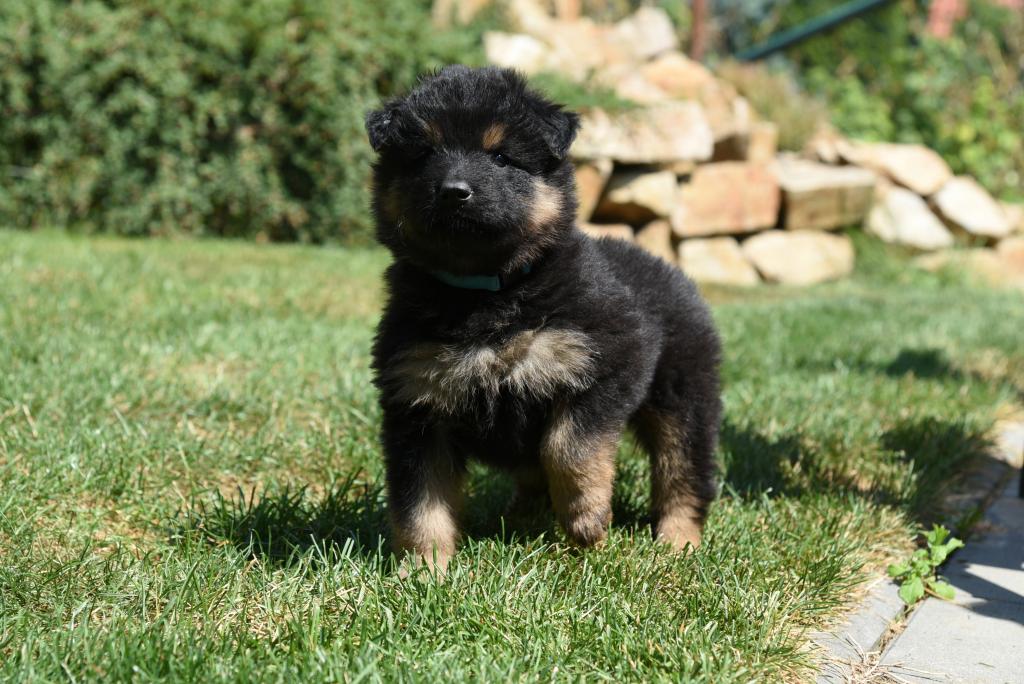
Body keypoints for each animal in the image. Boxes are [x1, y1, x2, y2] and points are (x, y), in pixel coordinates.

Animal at [366, 66, 721, 573]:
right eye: (424, 154)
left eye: (500, 156)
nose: (454, 192)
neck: (485, 293)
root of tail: (664, 265)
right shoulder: (415, 402)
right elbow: (420, 500)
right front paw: (424, 568)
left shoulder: (604, 362)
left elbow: (567, 447)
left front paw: (587, 520)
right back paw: (521, 518)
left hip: (683, 393)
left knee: (684, 470)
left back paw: (676, 543)